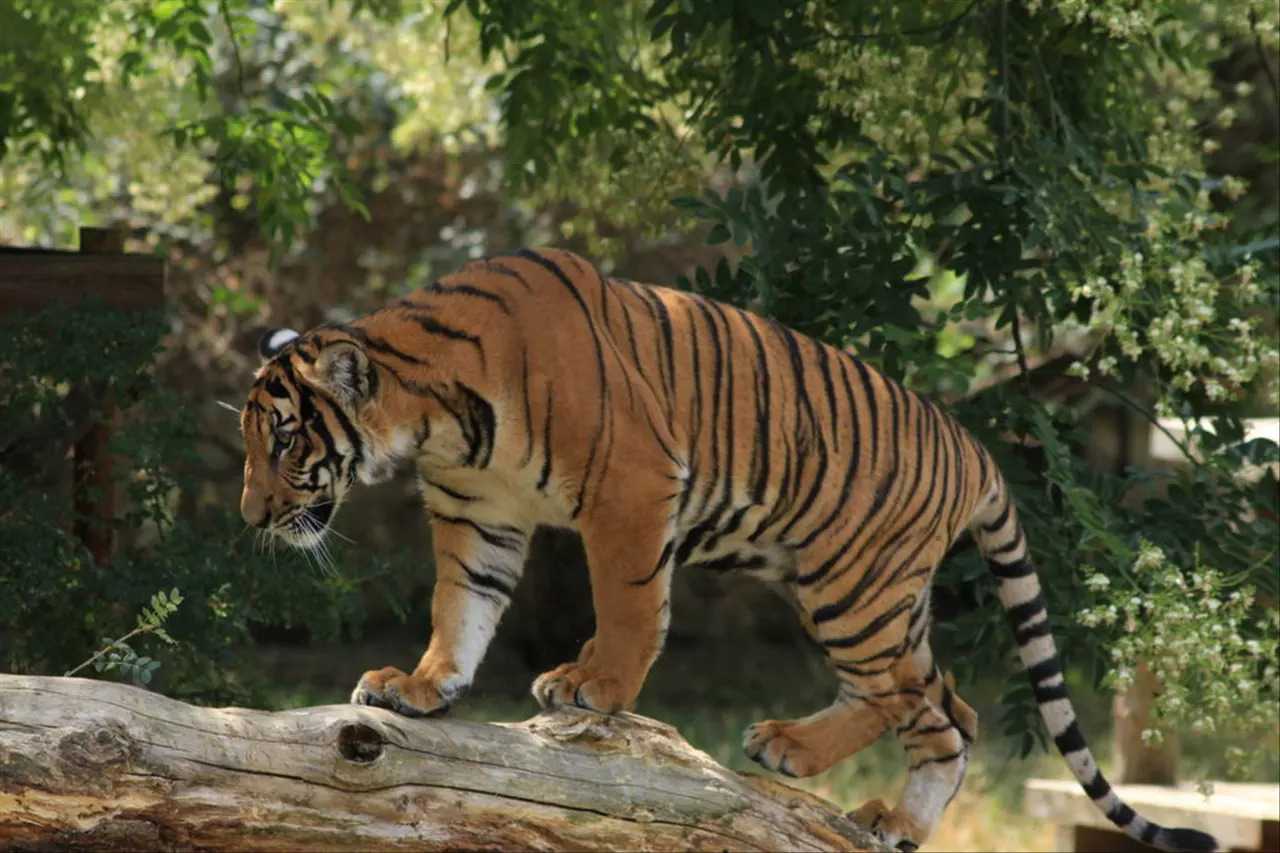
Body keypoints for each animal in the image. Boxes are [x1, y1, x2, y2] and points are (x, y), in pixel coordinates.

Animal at [238, 245, 1218, 850]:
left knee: (901, 694)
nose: (251, 516)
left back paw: (790, 749)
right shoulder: (479, 512)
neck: (437, 421)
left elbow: (629, 604)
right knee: (952, 712)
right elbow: (462, 607)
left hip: (850, 584)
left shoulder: (631, 487)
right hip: (877, 595)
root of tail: (974, 444)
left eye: (284, 442)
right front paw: (420, 686)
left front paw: (593, 685)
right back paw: (893, 821)